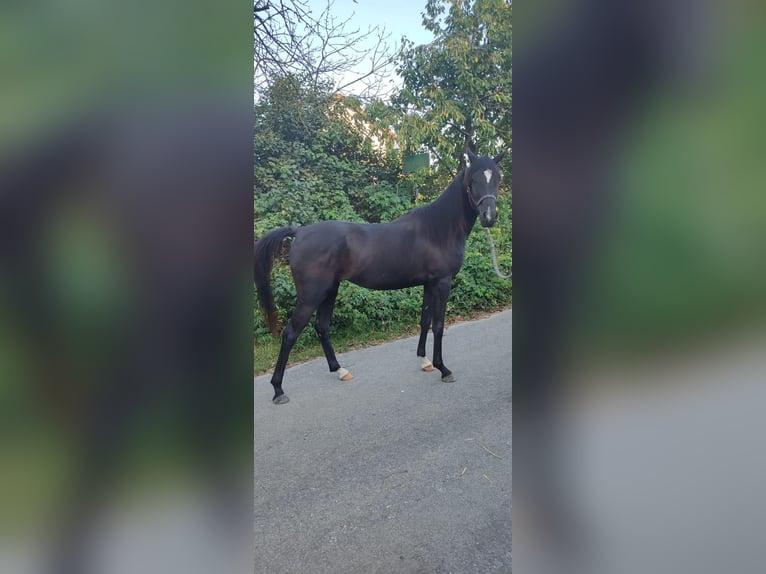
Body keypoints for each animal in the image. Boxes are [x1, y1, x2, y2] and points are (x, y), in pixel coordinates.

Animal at [255, 151, 508, 408]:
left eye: (497, 178)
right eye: (473, 179)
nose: (489, 217)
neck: (438, 229)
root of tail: (299, 232)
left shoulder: (429, 284)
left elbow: (424, 321)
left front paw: (424, 361)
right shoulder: (442, 283)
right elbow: (438, 325)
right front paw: (443, 369)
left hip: (330, 291)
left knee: (322, 327)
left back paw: (339, 370)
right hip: (311, 296)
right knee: (290, 334)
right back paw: (278, 389)